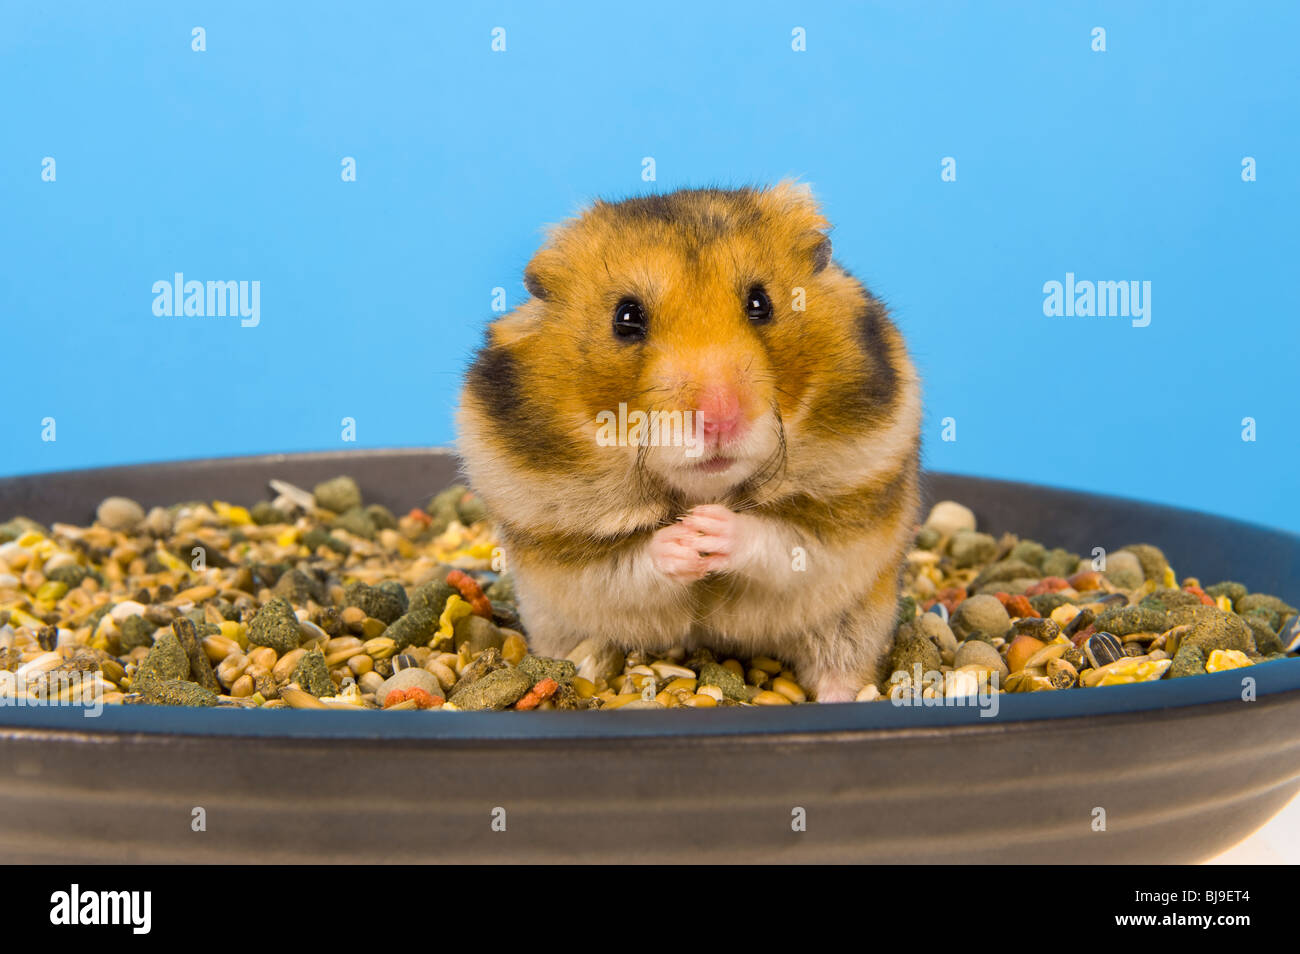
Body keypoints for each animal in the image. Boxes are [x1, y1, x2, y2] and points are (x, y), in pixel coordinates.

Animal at [456, 181, 922, 701]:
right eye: (626, 317)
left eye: (760, 303)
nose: (719, 417)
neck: (704, 489)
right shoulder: (557, 541)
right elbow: (627, 563)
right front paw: (686, 538)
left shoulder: (846, 514)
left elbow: (780, 540)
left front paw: (709, 528)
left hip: (855, 619)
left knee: (841, 664)